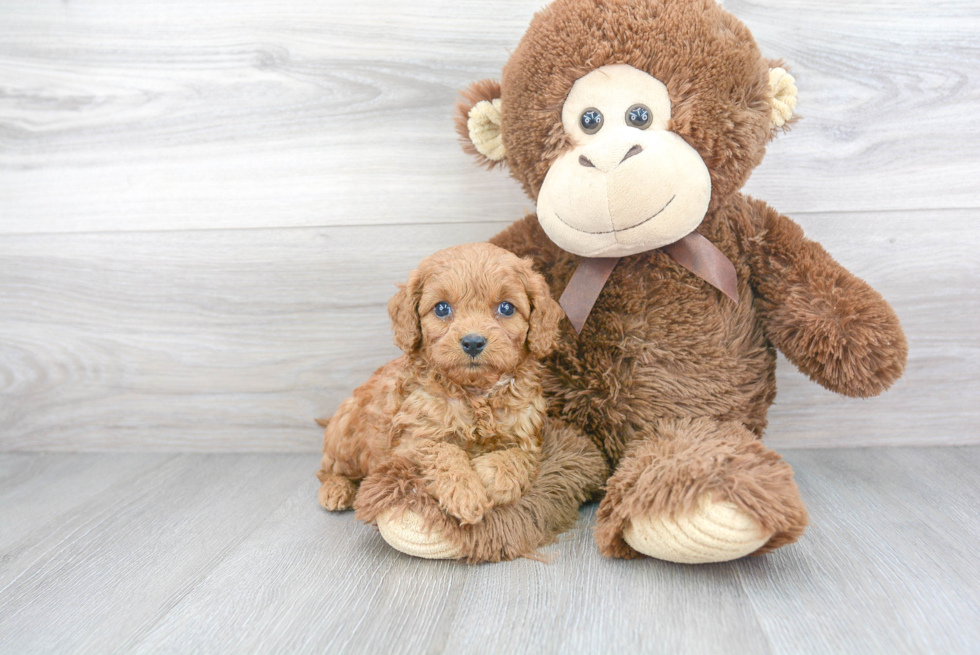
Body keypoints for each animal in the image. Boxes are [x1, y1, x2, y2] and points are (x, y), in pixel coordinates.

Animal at [314, 243, 560, 524]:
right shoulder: (413, 441)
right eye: (442, 308)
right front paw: (466, 493)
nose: (473, 342)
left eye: (506, 308)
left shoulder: (527, 436)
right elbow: (444, 452)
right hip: (345, 438)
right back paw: (335, 490)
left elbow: (518, 458)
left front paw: (489, 473)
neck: (476, 394)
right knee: (328, 470)